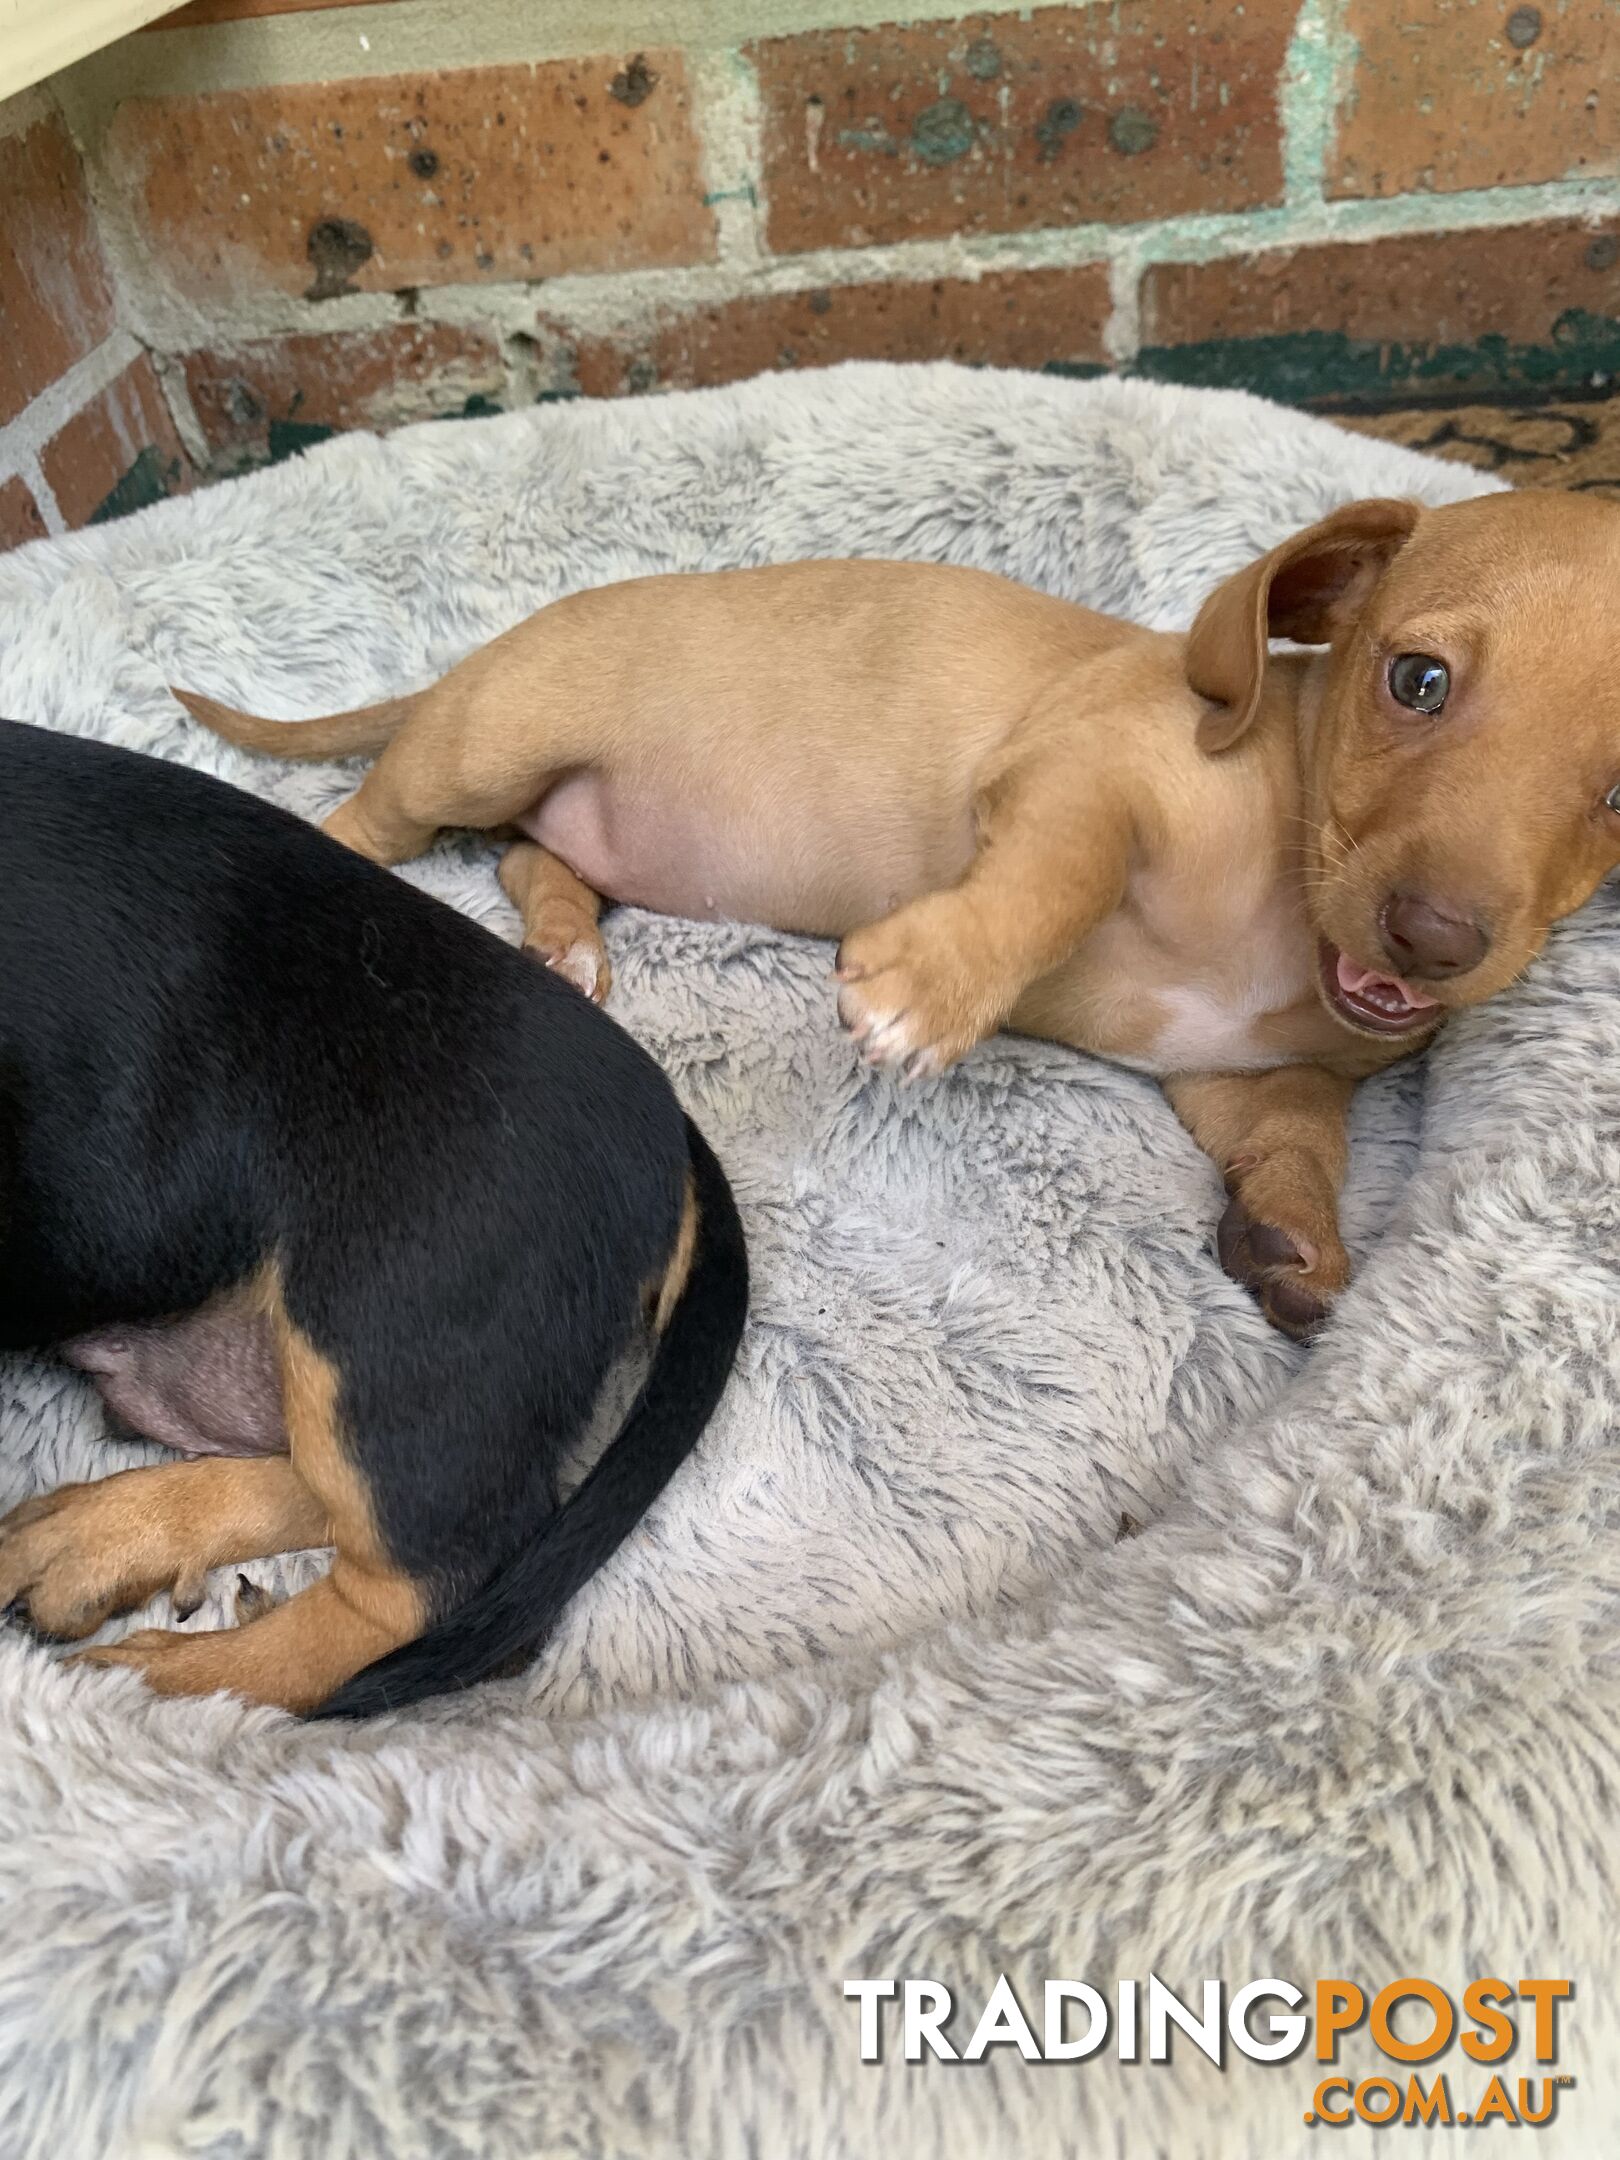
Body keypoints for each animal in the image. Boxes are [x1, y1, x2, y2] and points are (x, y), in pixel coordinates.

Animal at [177, 494, 1620, 1330]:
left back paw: (566, 943)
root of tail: (457, 671)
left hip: (557, 815)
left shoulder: (1241, 1076)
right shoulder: (1081, 778)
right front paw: (937, 980)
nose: (1435, 941)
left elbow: (1298, 1144)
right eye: (1416, 681)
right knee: (369, 825)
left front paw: (1298, 1238)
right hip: (482, 749)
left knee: (534, 861)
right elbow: (1052, 879)